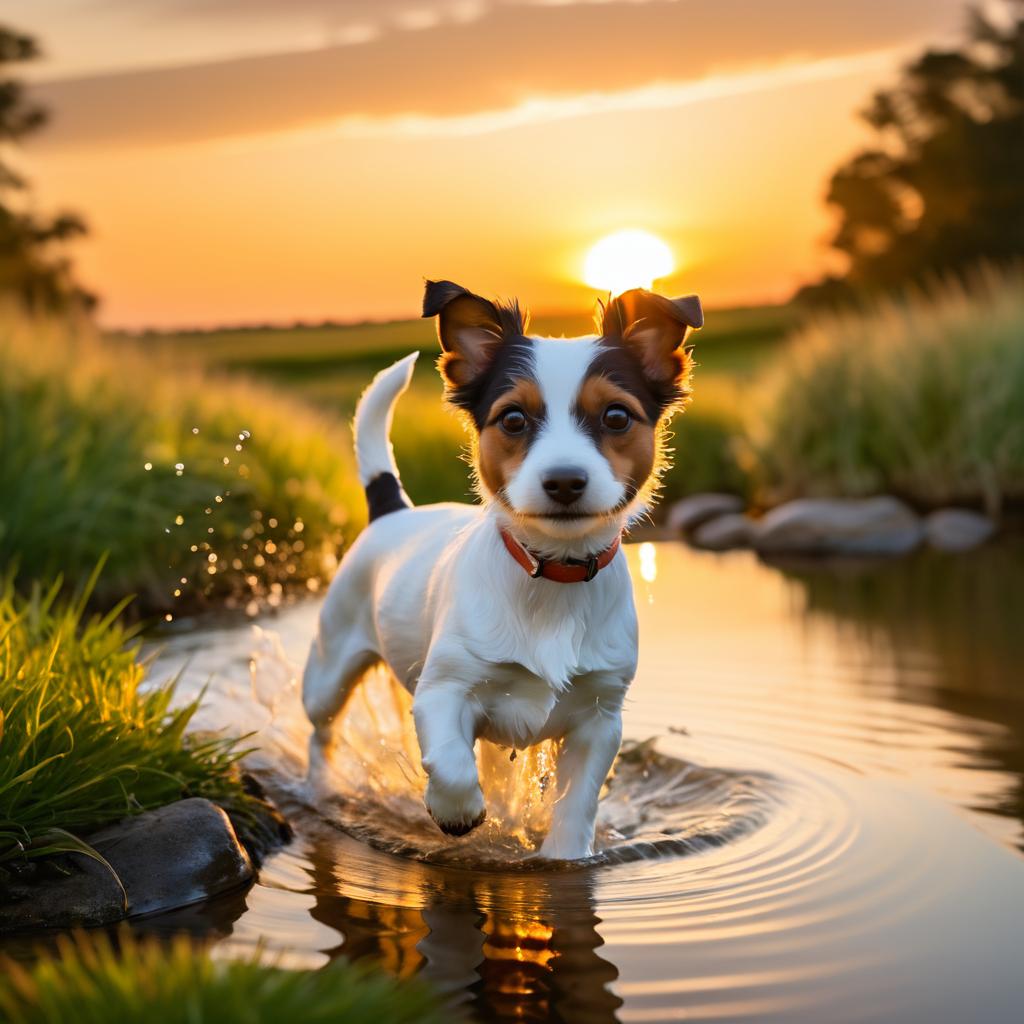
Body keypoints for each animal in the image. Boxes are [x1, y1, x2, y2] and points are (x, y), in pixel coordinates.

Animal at [303, 278, 700, 856]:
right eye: (513, 418)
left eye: (616, 416)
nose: (564, 480)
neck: (552, 572)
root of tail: (393, 507)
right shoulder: (443, 690)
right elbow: (450, 764)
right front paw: (455, 813)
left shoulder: (600, 718)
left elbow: (576, 805)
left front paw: (563, 855)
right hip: (329, 672)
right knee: (322, 730)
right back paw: (320, 785)